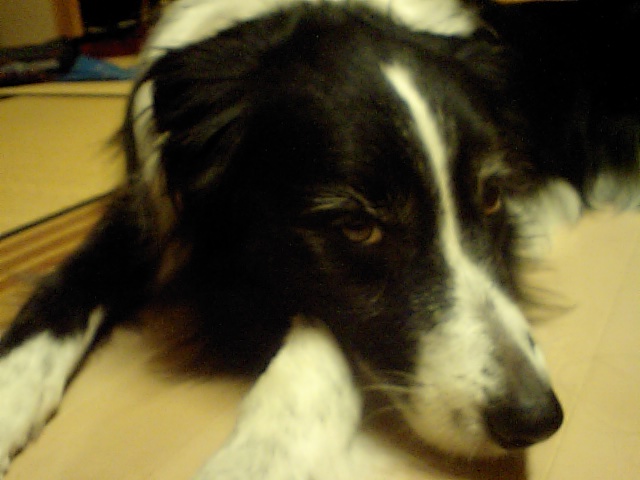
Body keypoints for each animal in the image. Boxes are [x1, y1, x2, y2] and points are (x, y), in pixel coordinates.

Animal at [1, 1, 638, 478]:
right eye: (358, 227)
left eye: (490, 197)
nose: (535, 419)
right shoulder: (151, 201)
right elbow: (69, 282)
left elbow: (318, 342)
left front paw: (258, 458)